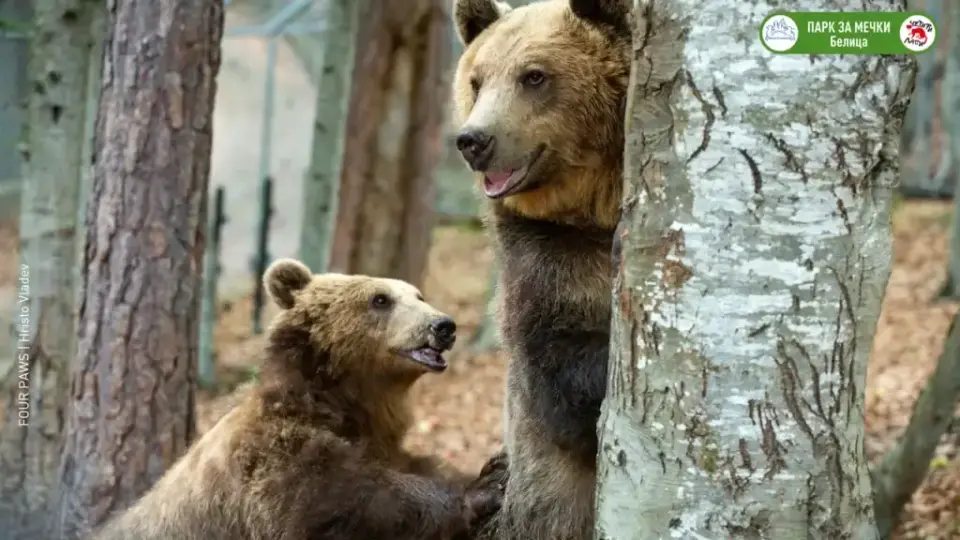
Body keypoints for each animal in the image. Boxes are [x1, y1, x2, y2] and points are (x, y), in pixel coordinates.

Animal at [91, 260, 510, 536]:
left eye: (419, 295)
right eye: (380, 299)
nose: (444, 325)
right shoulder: (273, 466)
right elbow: (348, 500)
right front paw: (483, 487)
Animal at [452, 2, 632, 536]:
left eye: (534, 75)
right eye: (477, 80)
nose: (473, 140)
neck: (593, 211)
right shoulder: (544, 258)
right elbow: (559, 375)